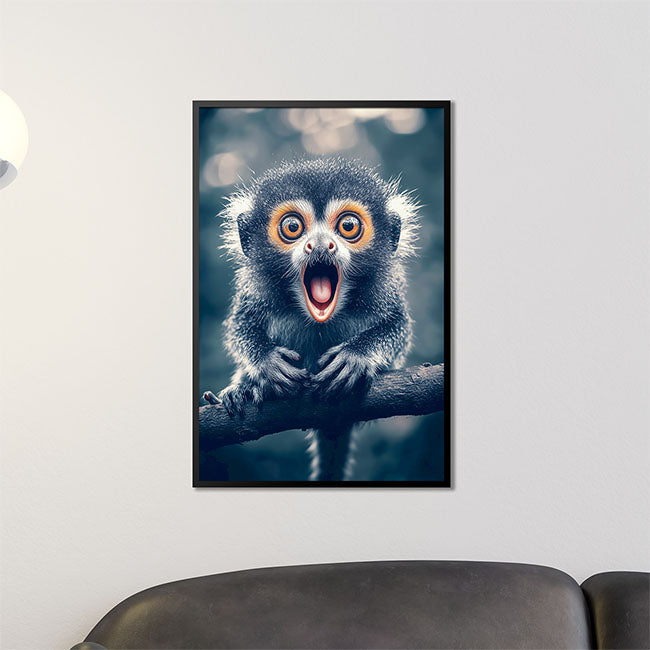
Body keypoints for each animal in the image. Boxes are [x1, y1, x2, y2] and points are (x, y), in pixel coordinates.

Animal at [203, 158, 419, 481]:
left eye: (348, 226)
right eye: (293, 227)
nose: (318, 245)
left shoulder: (385, 290)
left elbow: (398, 327)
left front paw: (356, 357)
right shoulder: (254, 292)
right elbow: (240, 326)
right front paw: (267, 363)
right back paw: (244, 389)